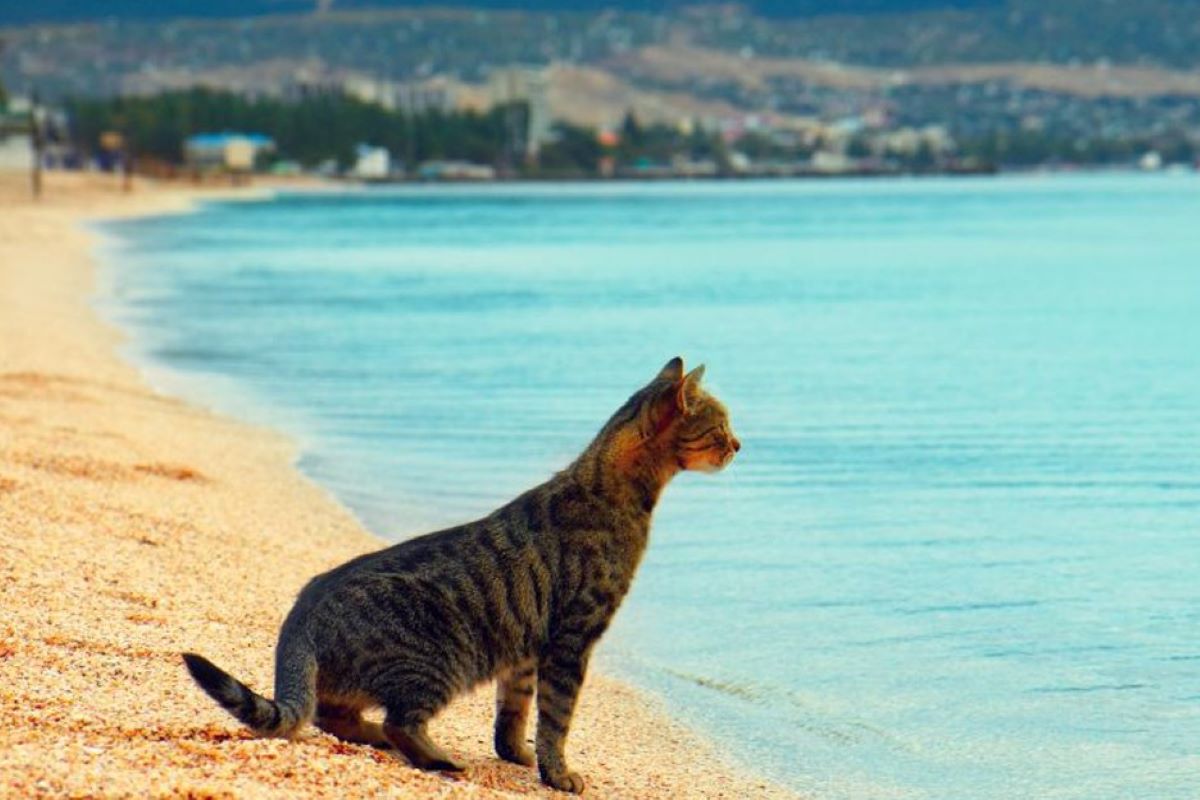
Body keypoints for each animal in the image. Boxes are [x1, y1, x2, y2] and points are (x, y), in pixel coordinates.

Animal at [181, 357, 734, 796]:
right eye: (721, 427)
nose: (740, 445)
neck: (613, 489)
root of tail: (300, 615)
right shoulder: (572, 640)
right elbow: (557, 719)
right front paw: (558, 774)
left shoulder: (527, 650)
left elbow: (514, 712)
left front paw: (517, 755)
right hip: (439, 660)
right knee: (396, 722)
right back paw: (437, 758)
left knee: (333, 714)